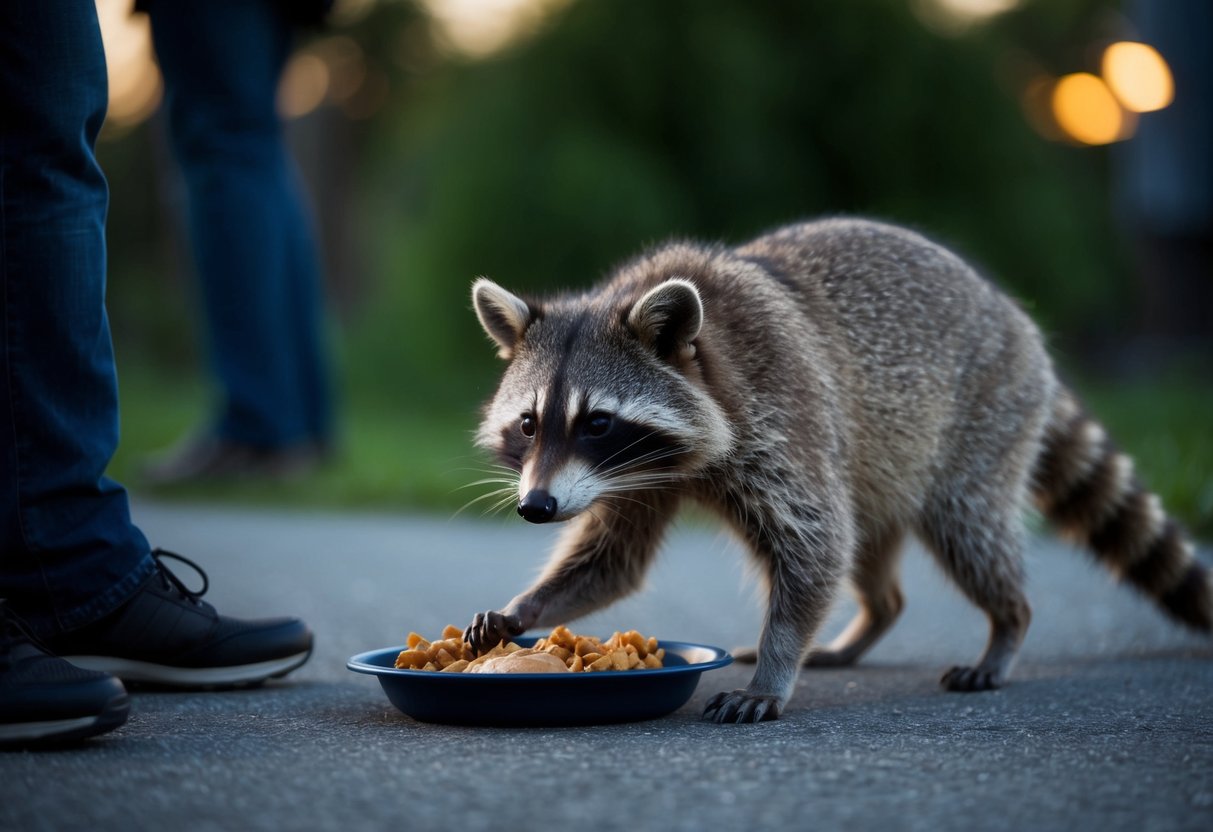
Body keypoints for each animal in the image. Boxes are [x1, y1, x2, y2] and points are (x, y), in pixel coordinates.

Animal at [463, 217, 1211, 723]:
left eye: (596, 422)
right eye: (528, 423)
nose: (535, 507)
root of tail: (1009, 313)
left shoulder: (780, 412)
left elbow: (813, 541)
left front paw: (775, 667)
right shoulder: (634, 475)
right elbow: (613, 558)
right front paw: (526, 607)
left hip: (984, 415)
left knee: (965, 530)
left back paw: (1006, 624)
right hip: (883, 460)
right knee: (869, 545)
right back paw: (872, 618)